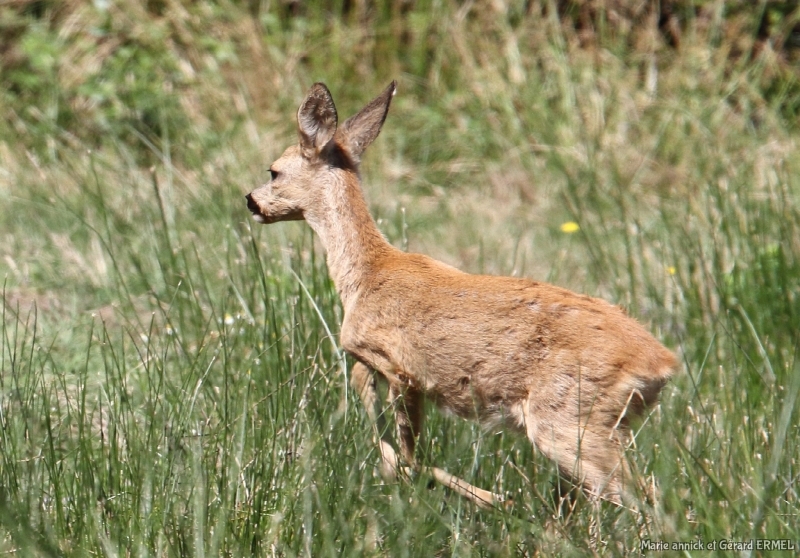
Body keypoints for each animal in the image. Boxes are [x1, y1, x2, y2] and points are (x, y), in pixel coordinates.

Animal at [244, 81, 676, 510]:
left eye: (274, 171)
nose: (250, 200)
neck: (366, 275)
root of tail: (661, 364)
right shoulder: (375, 364)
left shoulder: (400, 366)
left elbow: (407, 457)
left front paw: (494, 498)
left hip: (569, 418)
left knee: (636, 496)